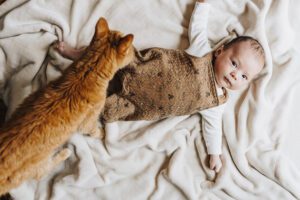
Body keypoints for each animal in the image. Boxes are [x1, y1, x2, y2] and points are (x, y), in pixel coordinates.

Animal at [0, 17, 134, 195]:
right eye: (132, 50)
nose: (136, 52)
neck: (88, 70)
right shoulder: (87, 122)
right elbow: (94, 131)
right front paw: (102, 134)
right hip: (38, 166)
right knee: (42, 172)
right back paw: (64, 153)